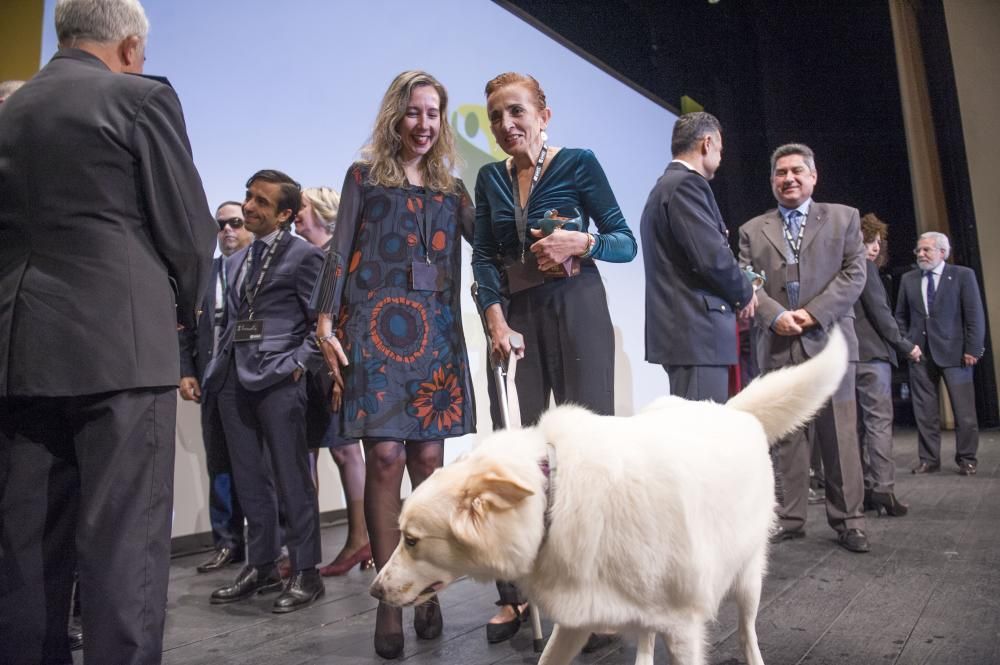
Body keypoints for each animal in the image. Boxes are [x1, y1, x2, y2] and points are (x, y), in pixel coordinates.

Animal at [372, 324, 848, 660]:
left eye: (411, 540)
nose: (375, 591)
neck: (554, 498)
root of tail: (731, 409)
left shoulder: (684, 627)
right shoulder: (578, 618)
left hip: (747, 578)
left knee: (747, 631)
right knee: (646, 639)